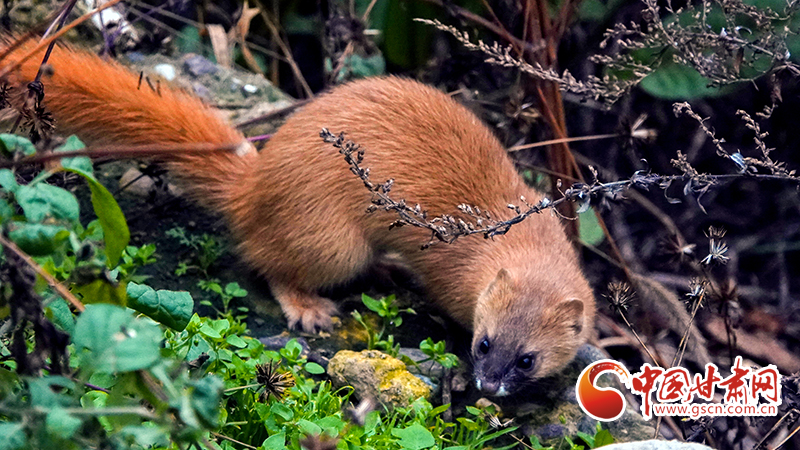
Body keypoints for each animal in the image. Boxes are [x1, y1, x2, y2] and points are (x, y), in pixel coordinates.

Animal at [1, 39, 592, 398]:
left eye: (527, 359)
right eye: (484, 342)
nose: (488, 385)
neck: (519, 230)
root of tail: (255, 185)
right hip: (332, 241)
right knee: (271, 263)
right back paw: (310, 309)